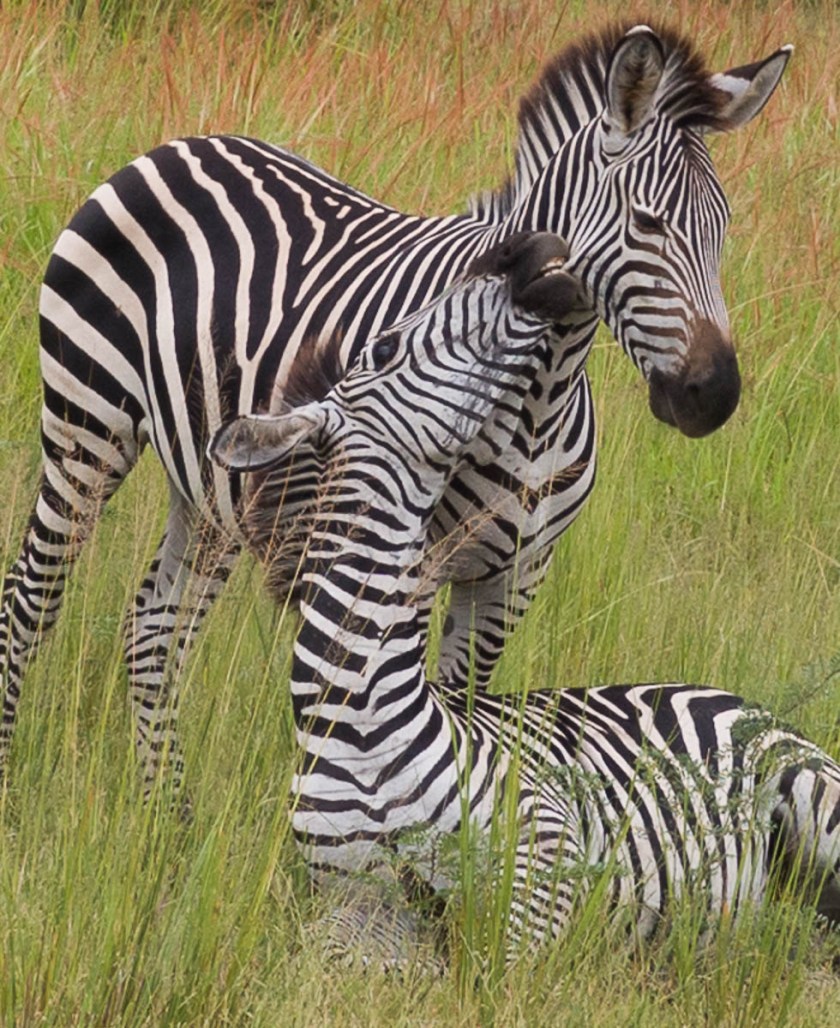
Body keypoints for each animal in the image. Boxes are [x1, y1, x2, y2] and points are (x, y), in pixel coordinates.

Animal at [0, 24, 792, 797]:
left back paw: (169, 815)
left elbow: (468, 711)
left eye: (724, 228)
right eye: (648, 224)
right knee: (29, 604)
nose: (714, 395)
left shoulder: (514, 578)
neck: (541, 398)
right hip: (87, 427)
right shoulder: (400, 558)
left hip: (210, 483)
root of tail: (176, 146)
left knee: (154, 631)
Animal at [212, 232, 840, 967]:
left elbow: (492, 967)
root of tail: (726, 693)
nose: (527, 248)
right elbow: (326, 958)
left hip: (813, 800)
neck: (359, 715)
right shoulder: (348, 904)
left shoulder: (546, 850)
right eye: (386, 346)